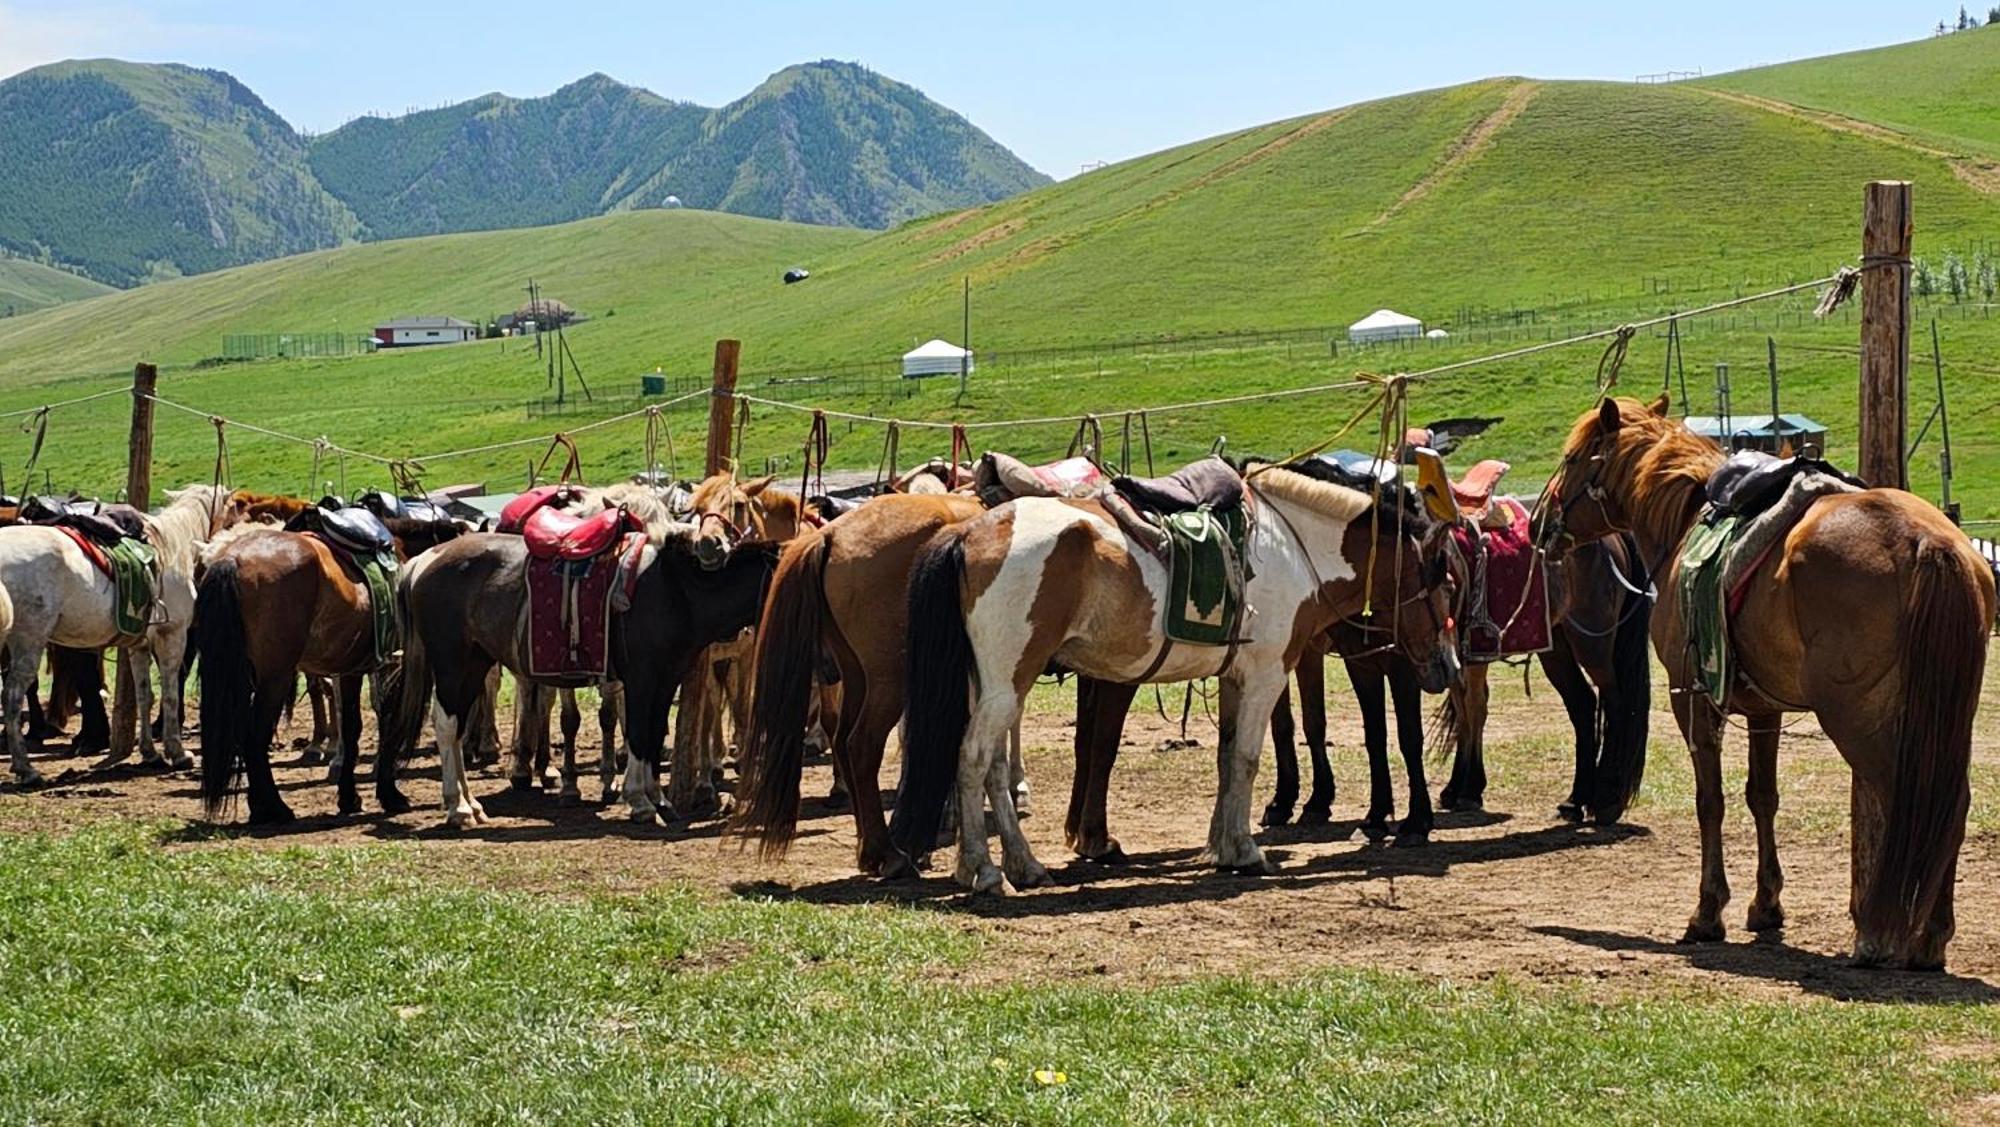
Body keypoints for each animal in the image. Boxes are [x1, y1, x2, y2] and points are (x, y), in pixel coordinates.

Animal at [0, 483, 236, 783]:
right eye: (233, 511)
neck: (171, 546)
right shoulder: (173, 635)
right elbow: (170, 693)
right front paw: (177, 753)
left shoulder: (140, 645)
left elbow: (144, 695)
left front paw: (150, 754)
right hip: (29, 641)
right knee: (12, 696)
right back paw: (26, 768)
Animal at [194, 505, 460, 823]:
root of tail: (232, 559)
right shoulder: (389, 667)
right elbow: (388, 722)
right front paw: (389, 794)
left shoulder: (350, 670)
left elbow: (352, 727)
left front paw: (348, 797)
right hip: (275, 677)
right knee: (254, 735)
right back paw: (274, 807)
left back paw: (262, 807)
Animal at [1544, 393, 1984, 967]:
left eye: (1572, 459)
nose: (1540, 525)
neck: (1685, 523)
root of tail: (1929, 542)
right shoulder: (1763, 709)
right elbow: (1762, 796)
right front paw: (1766, 904)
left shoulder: (1692, 700)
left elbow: (1710, 801)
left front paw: (1708, 912)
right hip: (1945, 718)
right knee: (1950, 805)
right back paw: (1931, 938)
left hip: (1859, 722)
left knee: (1911, 801)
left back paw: (1879, 931)